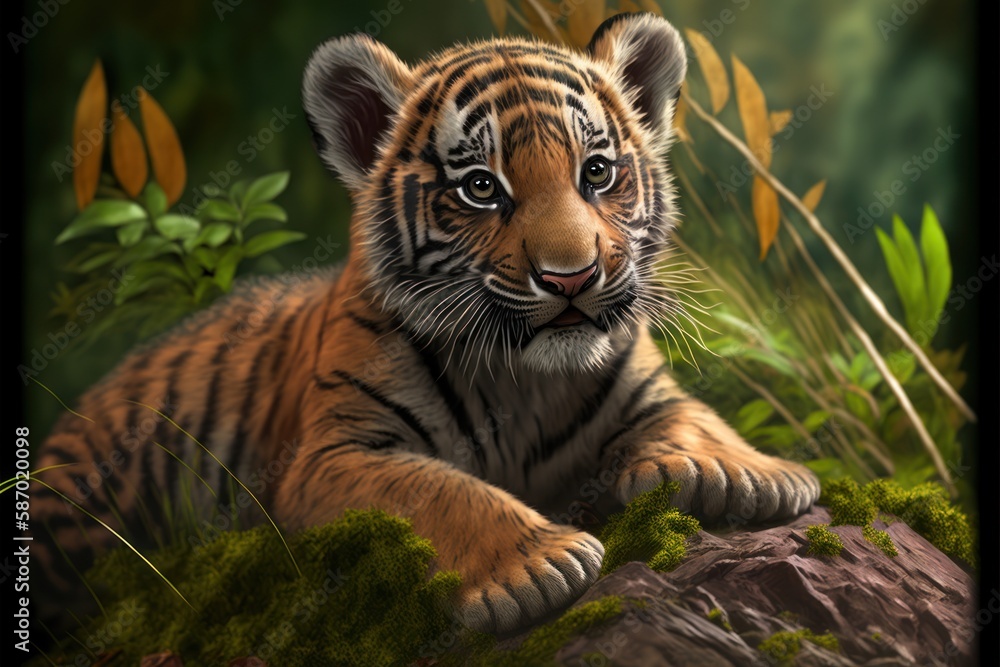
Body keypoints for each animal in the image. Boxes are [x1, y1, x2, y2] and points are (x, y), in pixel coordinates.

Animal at [34, 13, 820, 635]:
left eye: (596, 172)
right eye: (481, 187)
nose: (571, 277)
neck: (527, 381)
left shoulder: (646, 388)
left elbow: (692, 415)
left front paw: (744, 474)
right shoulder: (333, 453)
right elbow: (436, 488)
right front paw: (537, 564)